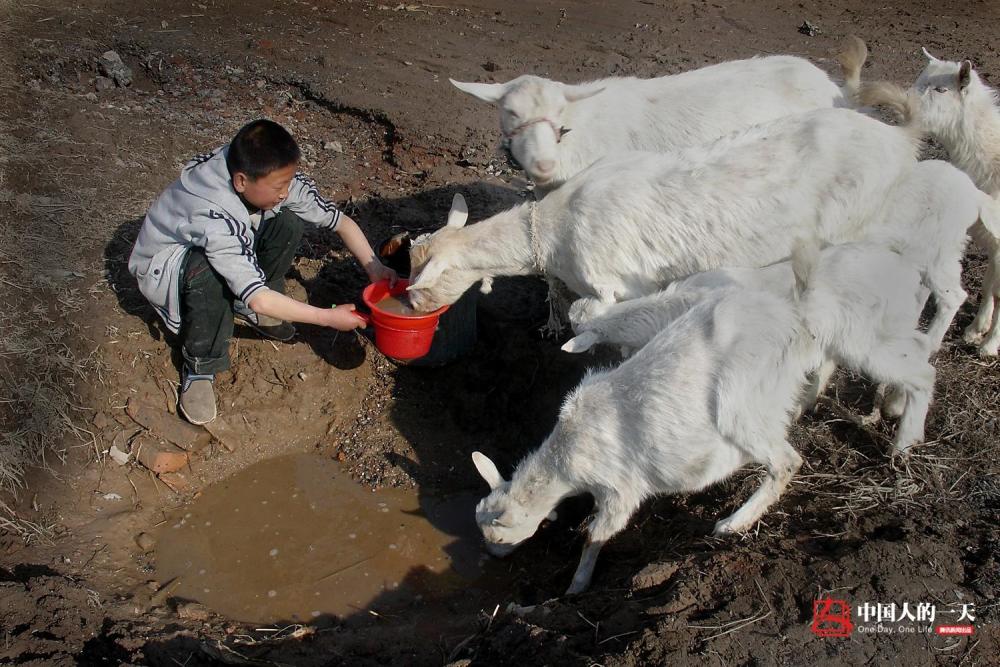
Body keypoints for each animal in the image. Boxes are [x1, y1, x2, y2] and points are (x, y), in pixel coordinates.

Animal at [408, 107, 920, 318]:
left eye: (421, 283)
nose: (409, 306)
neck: (553, 230)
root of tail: (901, 141)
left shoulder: (618, 284)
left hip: (854, 221)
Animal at [472, 243, 932, 592]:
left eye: (499, 533)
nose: (491, 555)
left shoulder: (619, 490)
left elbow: (595, 535)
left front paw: (576, 587)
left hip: (753, 398)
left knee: (793, 457)